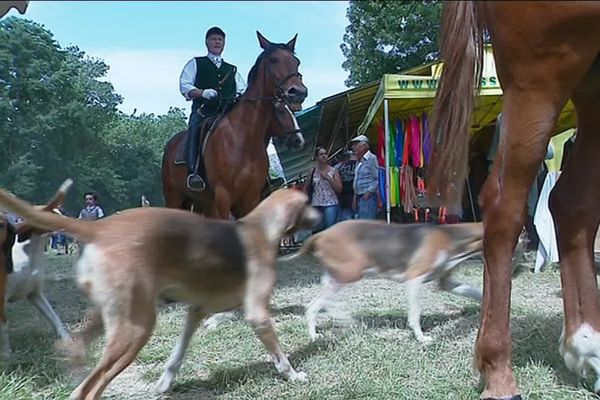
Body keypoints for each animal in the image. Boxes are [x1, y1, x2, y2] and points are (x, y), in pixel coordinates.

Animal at [0, 180, 72, 360]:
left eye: (61, 212)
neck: (30, 255)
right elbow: (4, 326)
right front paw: (6, 354)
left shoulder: (35, 294)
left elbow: (55, 318)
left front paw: (67, 339)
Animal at [162, 31, 308, 219]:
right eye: (274, 60)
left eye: (296, 61)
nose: (298, 92)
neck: (245, 138)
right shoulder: (224, 197)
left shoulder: (250, 198)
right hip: (174, 197)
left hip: (204, 202)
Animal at [280, 220, 482, 342]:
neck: (450, 236)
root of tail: (321, 233)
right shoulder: (414, 278)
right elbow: (415, 315)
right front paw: (421, 338)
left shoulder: (444, 281)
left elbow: (477, 293)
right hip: (350, 273)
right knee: (317, 305)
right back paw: (333, 326)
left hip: (336, 277)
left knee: (320, 304)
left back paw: (335, 326)